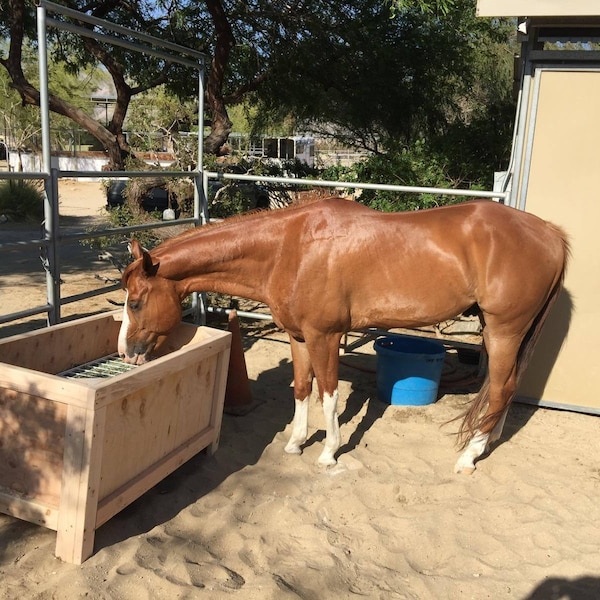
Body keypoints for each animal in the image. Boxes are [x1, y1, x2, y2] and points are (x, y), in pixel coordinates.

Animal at [118, 197, 572, 474]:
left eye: (135, 302)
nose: (126, 353)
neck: (289, 249)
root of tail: (550, 233)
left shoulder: (325, 336)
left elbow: (329, 394)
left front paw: (328, 453)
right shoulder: (299, 337)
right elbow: (302, 388)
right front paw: (296, 443)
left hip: (504, 329)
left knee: (500, 388)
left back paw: (469, 455)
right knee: (504, 388)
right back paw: (488, 438)